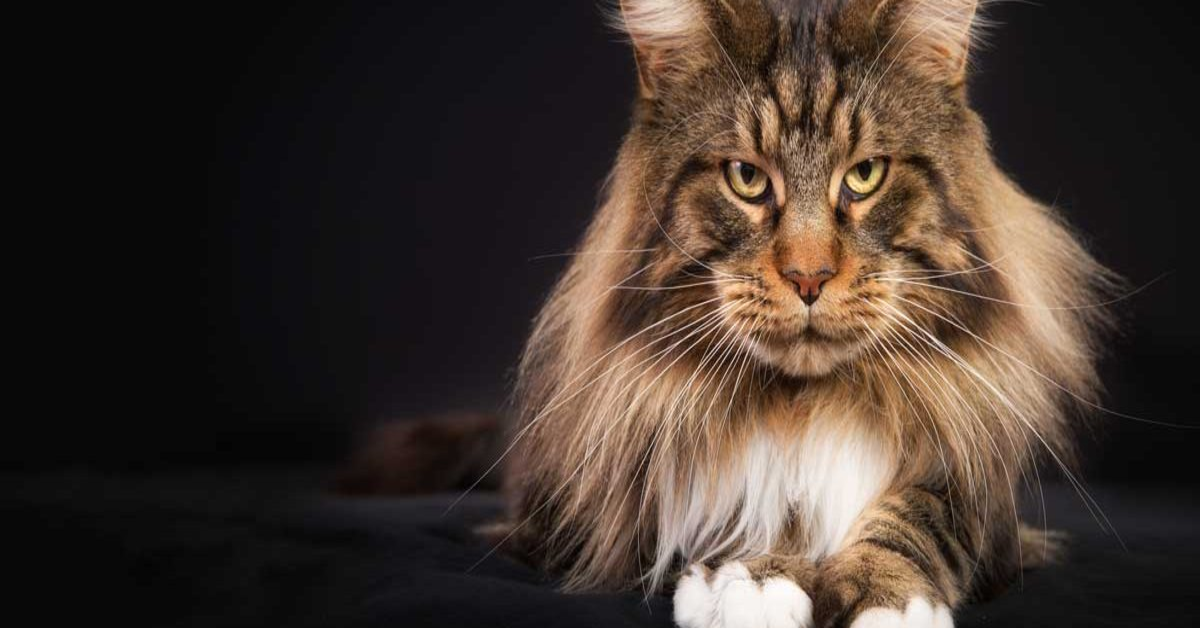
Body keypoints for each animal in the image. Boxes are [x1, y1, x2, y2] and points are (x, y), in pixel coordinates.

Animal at [487, 1, 1113, 628]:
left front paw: (884, 594)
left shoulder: (983, 492)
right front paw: (757, 579)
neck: (805, 405)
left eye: (866, 174)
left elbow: (920, 515)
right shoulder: (606, 503)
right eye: (746, 178)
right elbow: (740, 502)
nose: (808, 277)